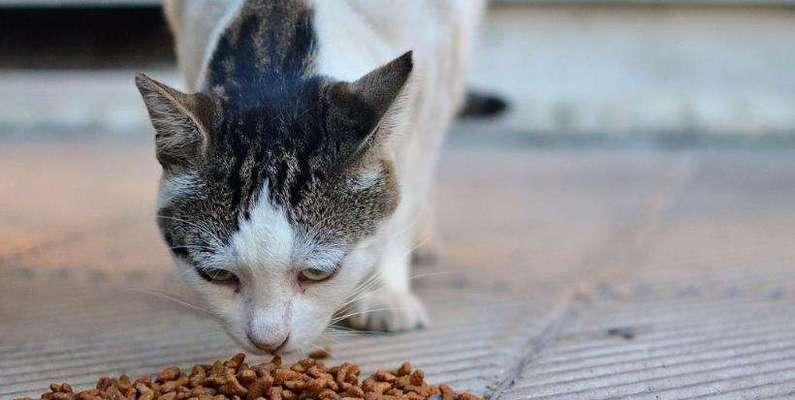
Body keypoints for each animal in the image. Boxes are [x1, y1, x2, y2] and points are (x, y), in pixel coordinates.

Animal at [137, 0, 486, 354]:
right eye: (219, 275)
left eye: (317, 273)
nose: (269, 342)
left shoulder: (437, 55)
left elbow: (410, 183)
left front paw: (383, 291)